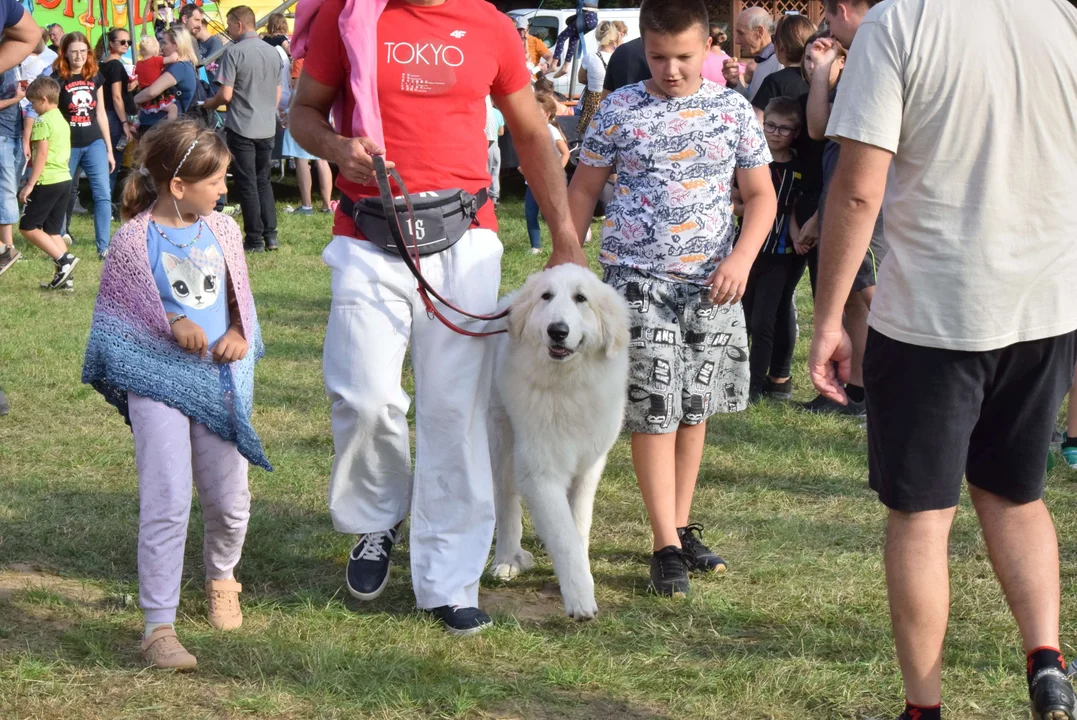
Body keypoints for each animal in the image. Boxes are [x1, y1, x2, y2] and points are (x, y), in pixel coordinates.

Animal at [491, 262, 628, 619]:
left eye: (581, 298)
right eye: (546, 296)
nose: (557, 331)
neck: (567, 386)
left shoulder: (589, 467)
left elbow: (578, 524)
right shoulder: (541, 474)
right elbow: (564, 537)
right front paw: (580, 598)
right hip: (502, 441)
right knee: (506, 503)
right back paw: (507, 559)